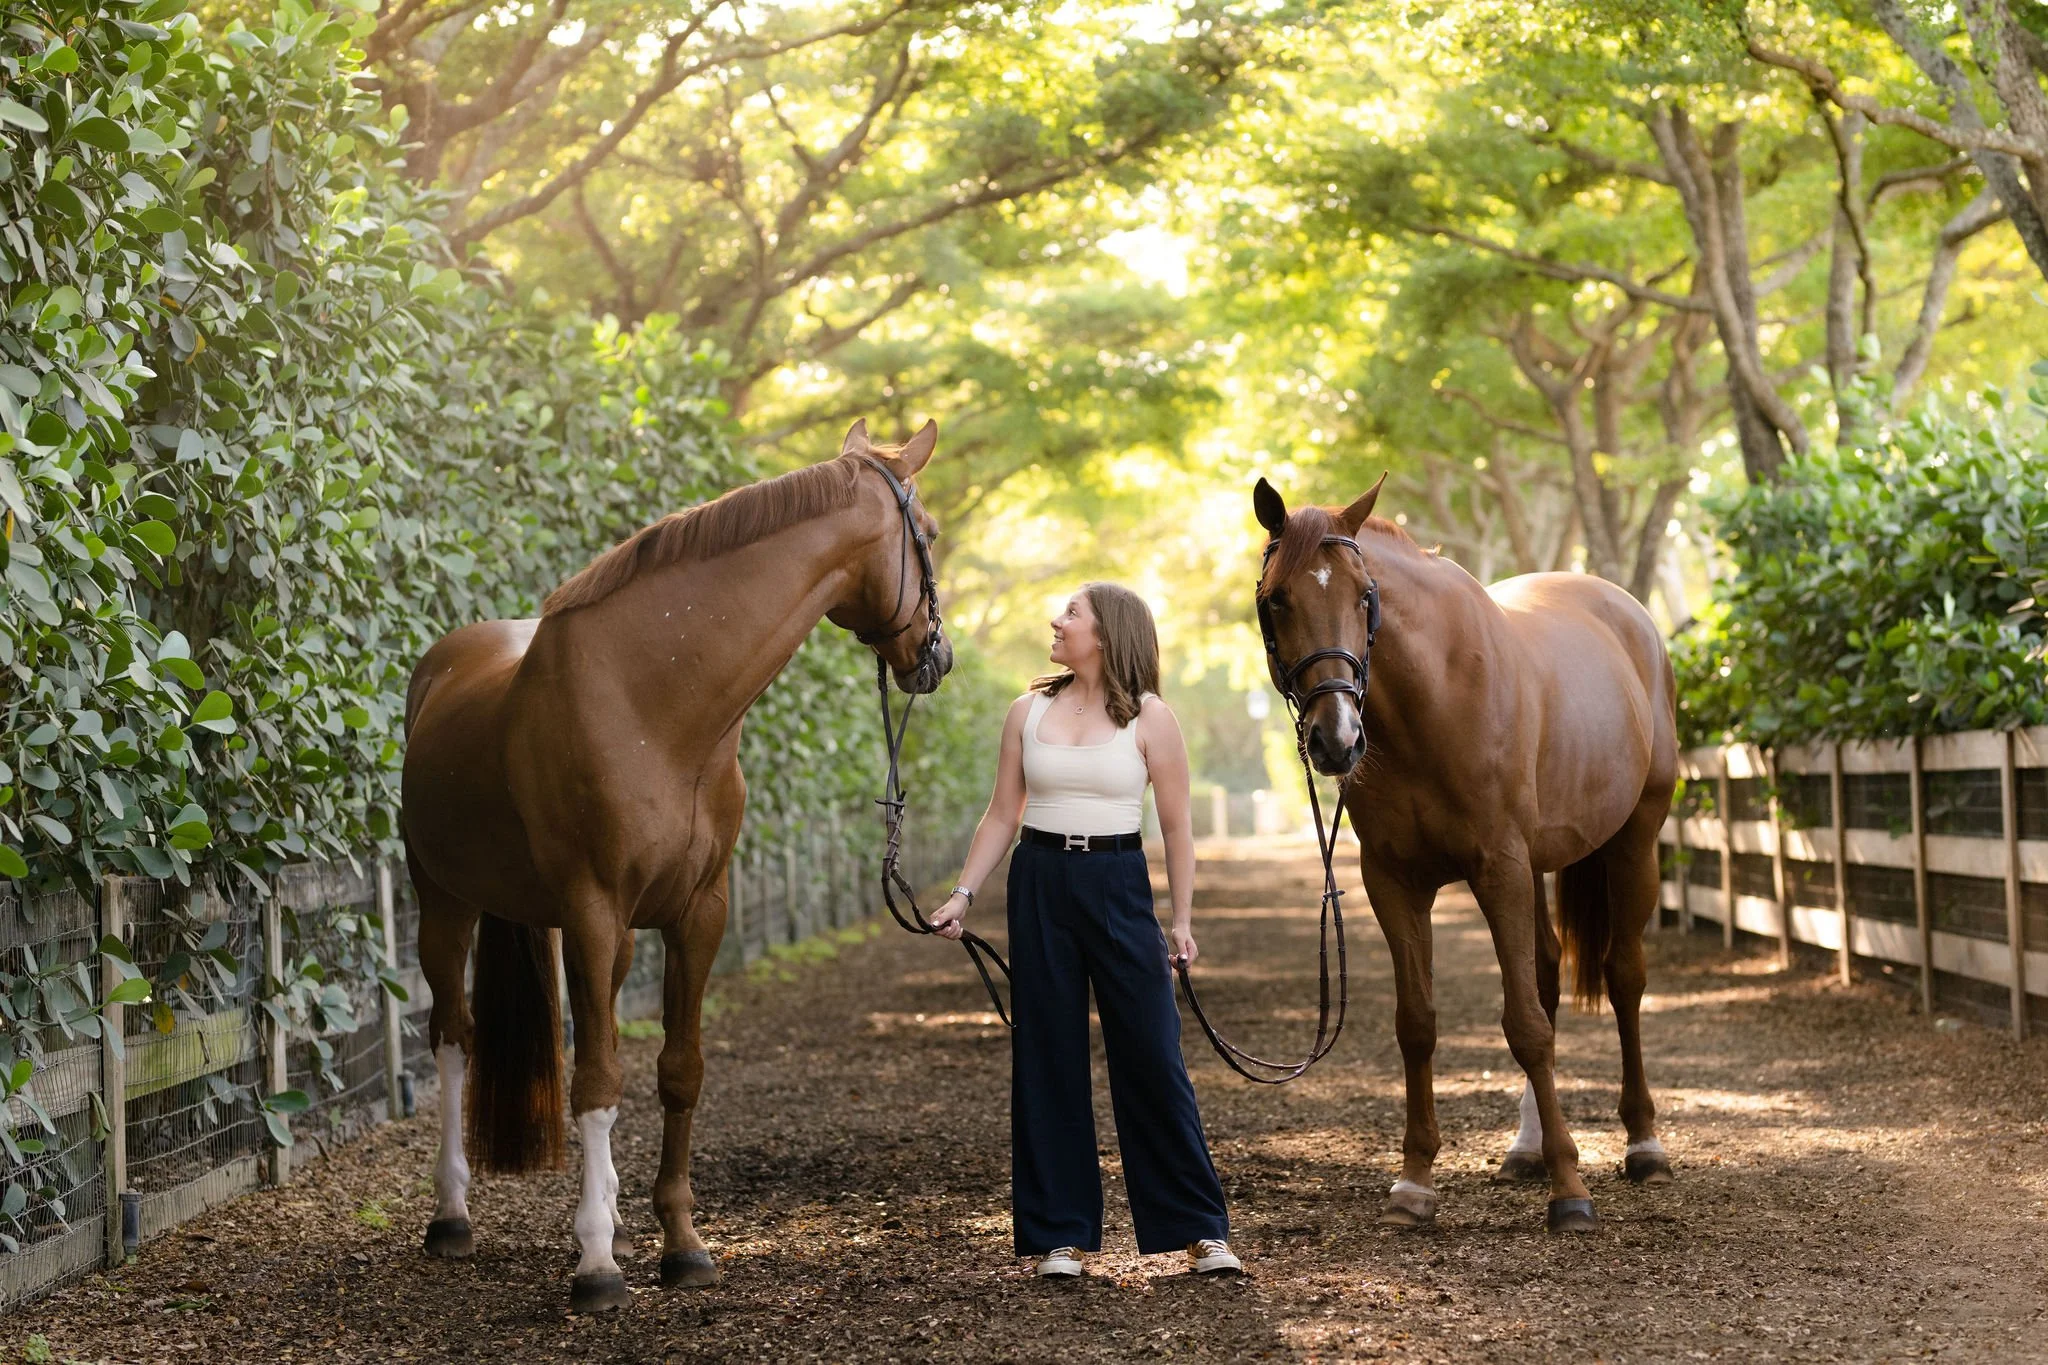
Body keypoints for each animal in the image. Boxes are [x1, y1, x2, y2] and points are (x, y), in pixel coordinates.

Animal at [400, 420, 952, 1311]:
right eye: (927, 532)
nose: (938, 654)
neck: (655, 702)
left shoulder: (699, 910)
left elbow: (678, 1071)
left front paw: (681, 1244)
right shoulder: (592, 910)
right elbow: (596, 1079)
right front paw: (596, 1263)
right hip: (443, 903)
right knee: (453, 1036)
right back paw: (452, 1215)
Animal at [1249, 475, 1676, 1234]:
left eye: (1364, 595)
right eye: (1277, 599)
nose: (1337, 738)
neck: (1434, 697)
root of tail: (1630, 615)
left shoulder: (1497, 866)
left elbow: (1526, 1028)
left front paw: (1570, 1191)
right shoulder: (1394, 882)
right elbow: (1418, 1024)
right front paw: (1414, 1182)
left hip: (1633, 841)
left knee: (1623, 978)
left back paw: (1644, 1145)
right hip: (1538, 864)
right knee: (1544, 974)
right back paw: (1527, 1148)